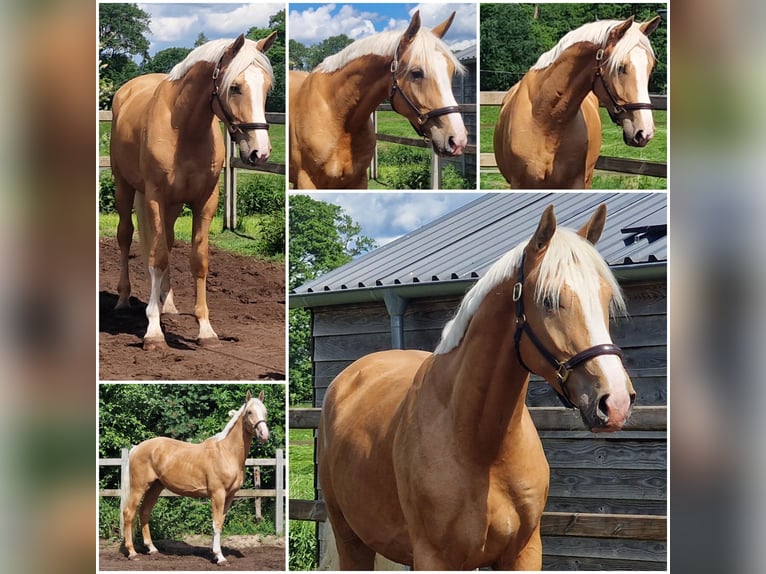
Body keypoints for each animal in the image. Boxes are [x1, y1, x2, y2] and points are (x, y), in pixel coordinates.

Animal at [109, 32, 277, 349]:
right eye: (235, 87)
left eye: (267, 87)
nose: (259, 153)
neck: (183, 129)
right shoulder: (155, 198)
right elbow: (158, 257)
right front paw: (153, 332)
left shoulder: (205, 201)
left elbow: (197, 260)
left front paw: (205, 330)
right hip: (124, 187)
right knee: (126, 237)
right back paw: (124, 299)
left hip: (173, 206)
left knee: (167, 240)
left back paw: (168, 303)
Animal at [122, 390, 270, 564]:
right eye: (249, 412)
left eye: (265, 411)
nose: (264, 435)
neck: (227, 453)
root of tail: (137, 448)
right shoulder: (217, 494)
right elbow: (216, 523)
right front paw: (220, 557)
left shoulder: (229, 496)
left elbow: (220, 523)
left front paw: (214, 553)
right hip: (139, 487)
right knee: (129, 513)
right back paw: (132, 552)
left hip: (155, 487)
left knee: (144, 512)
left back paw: (152, 549)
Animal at [289, 10, 468, 189]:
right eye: (416, 73)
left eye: (451, 71)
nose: (457, 140)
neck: (337, 117)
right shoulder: (306, 181)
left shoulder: (358, 180)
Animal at [318, 204, 635, 570]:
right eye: (549, 300)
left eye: (606, 298)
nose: (615, 402)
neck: (481, 446)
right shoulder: (434, 558)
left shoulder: (523, 552)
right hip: (350, 538)